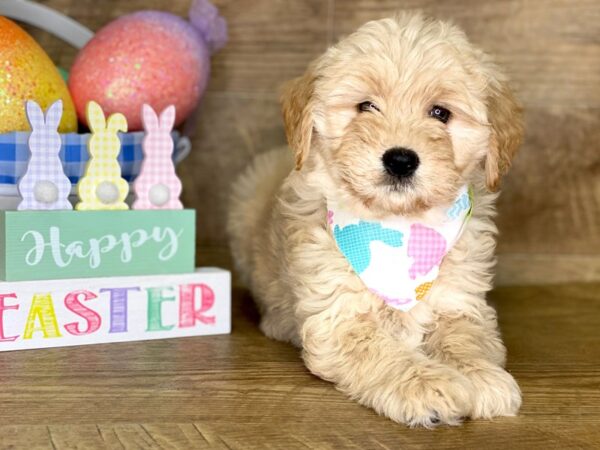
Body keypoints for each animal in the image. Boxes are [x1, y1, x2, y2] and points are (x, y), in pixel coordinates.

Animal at [227, 12, 524, 428]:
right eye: (366, 106)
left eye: (440, 113)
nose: (400, 160)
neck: (398, 227)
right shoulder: (340, 319)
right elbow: (385, 354)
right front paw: (429, 386)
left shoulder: (460, 302)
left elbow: (466, 337)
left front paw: (481, 376)